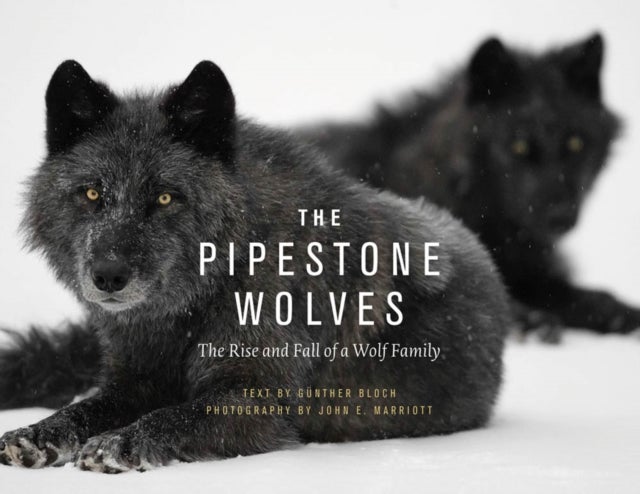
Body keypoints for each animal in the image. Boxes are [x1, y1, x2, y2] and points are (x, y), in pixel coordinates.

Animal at [0, 60, 508, 472]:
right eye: (91, 193)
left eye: (164, 197)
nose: (108, 275)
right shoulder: (133, 382)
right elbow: (85, 408)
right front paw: (39, 433)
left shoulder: (257, 402)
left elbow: (173, 416)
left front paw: (118, 444)